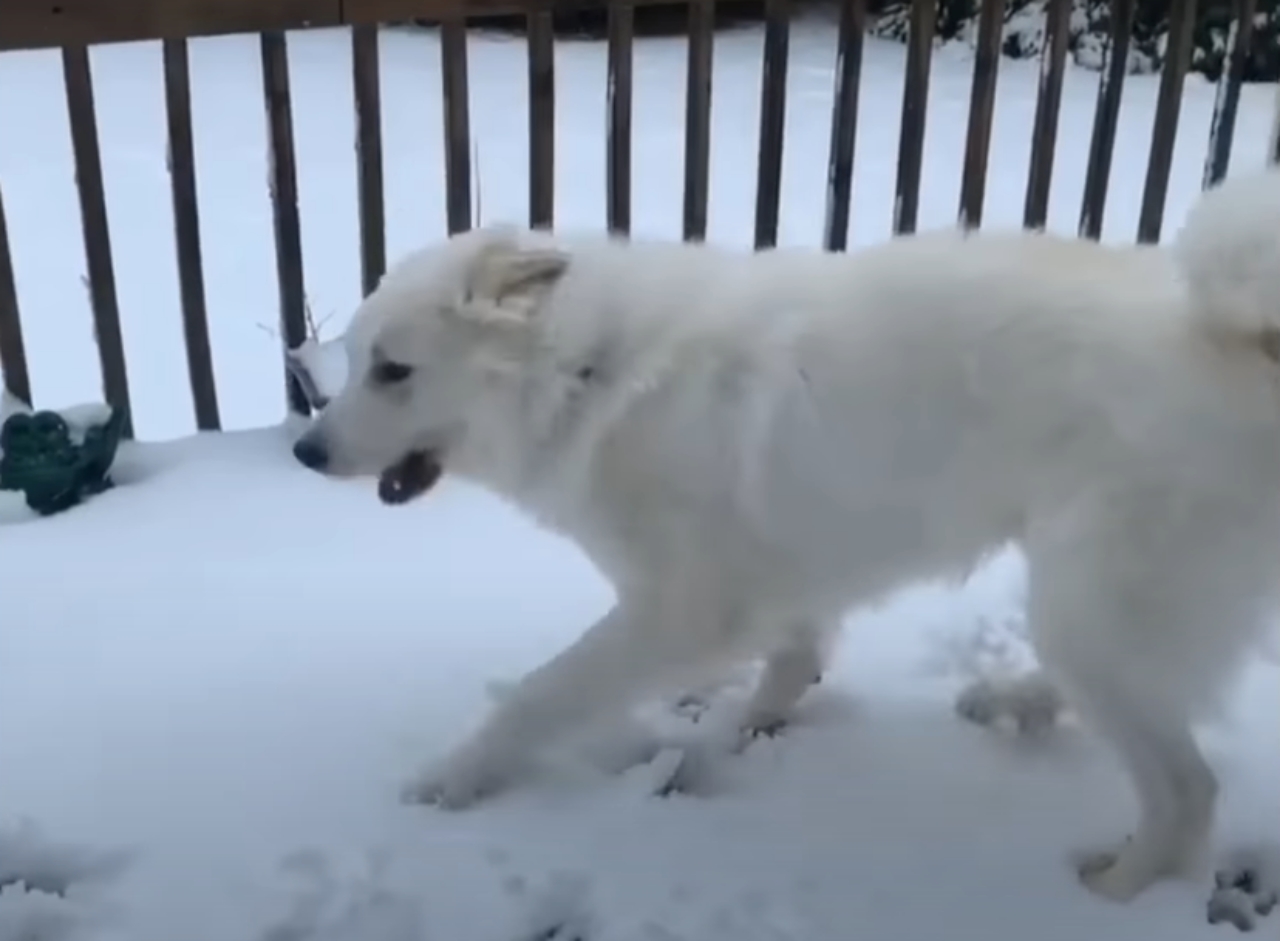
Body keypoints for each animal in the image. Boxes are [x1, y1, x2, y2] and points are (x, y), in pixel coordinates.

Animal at [294, 171, 1280, 906]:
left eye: (393, 370)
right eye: (358, 362)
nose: (305, 452)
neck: (591, 370)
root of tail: (1241, 344)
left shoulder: (678, 609)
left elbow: (539, 694)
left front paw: (452, 778)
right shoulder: (775, 572)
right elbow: (793, 655)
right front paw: (752, 723)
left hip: (1095, 601)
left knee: (1188, 789)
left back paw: (1115, 883)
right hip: (1085, 605)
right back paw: (1015, 699)